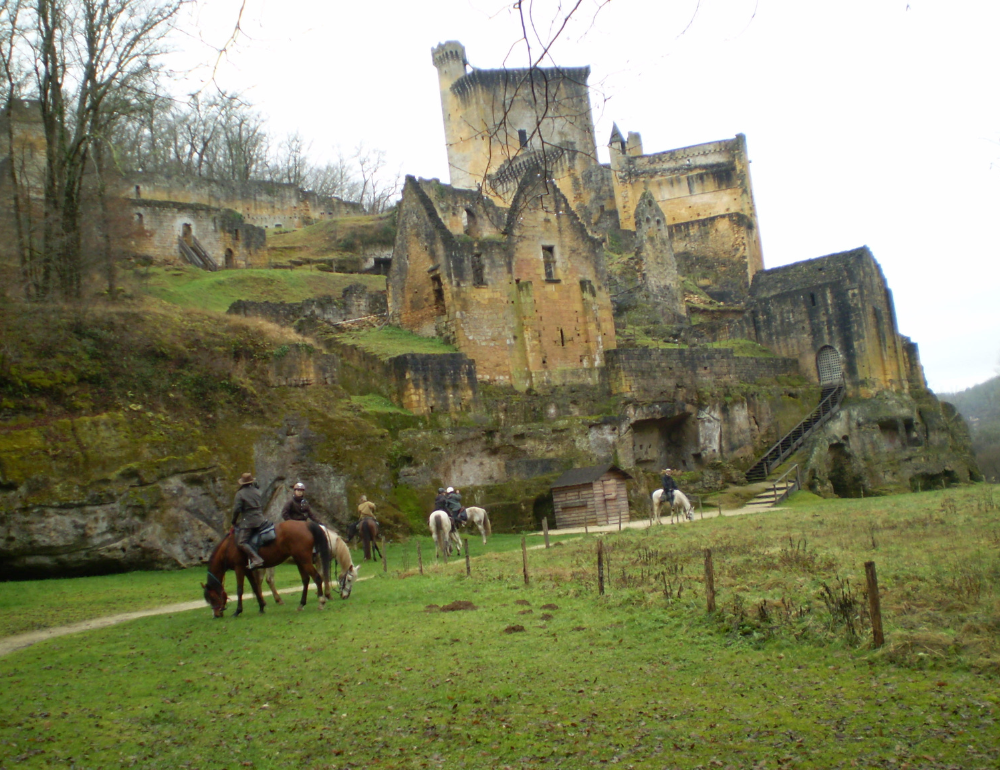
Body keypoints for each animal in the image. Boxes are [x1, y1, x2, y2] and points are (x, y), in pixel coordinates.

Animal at [201, 516, 330, 616]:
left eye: (212, 598)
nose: (216, 615)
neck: (228, 546)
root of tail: (306, 524)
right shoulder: (247, 570)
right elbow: (255, 587)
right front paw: (261, 606)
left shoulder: (239, 568)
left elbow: (240, 589)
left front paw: (238, 611)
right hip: (300, 561)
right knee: (306, 580)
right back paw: (301, 604)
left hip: (304, 561)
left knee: (317, 578)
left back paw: (321, 601)